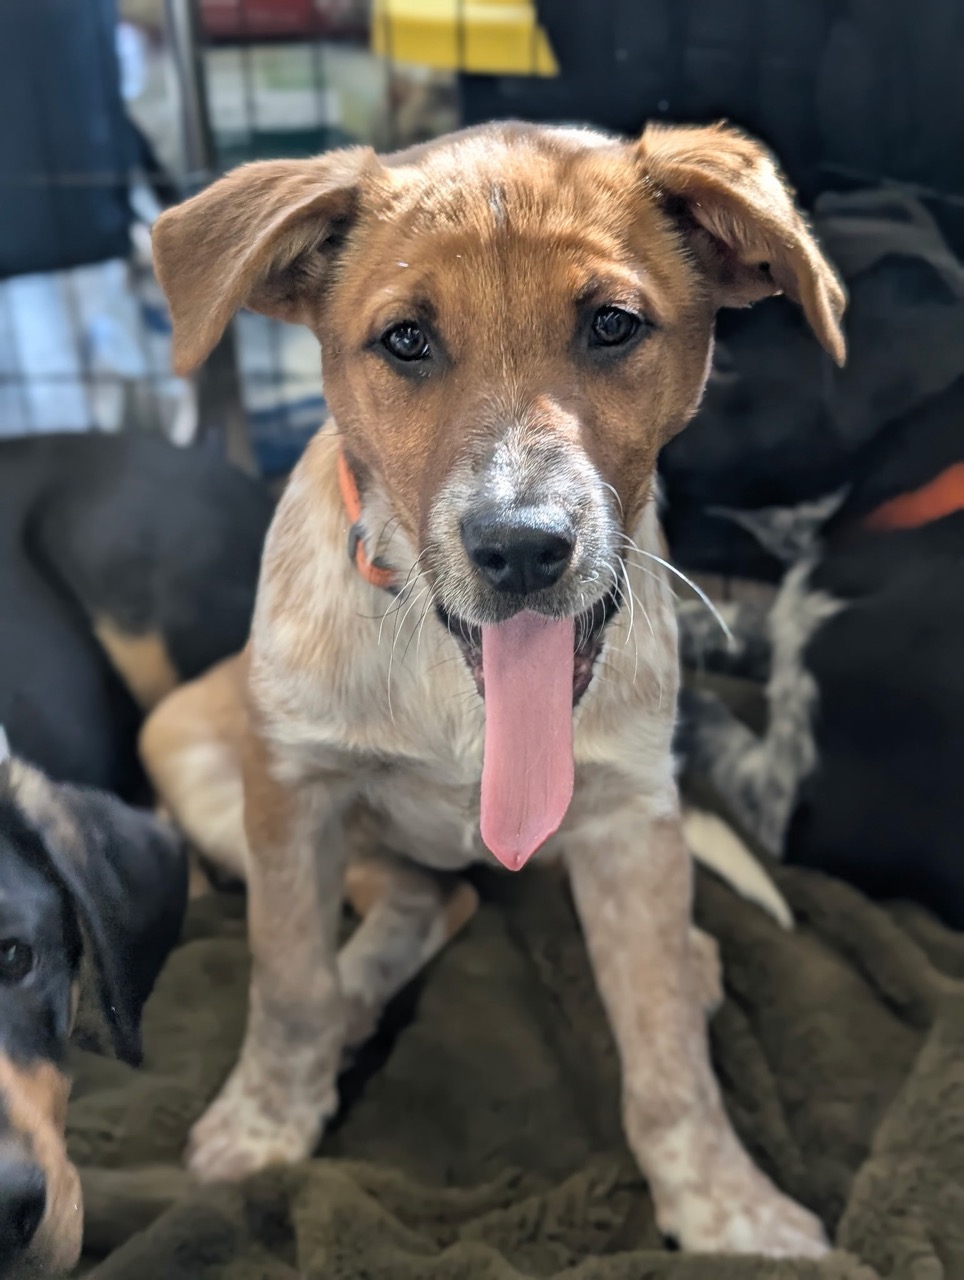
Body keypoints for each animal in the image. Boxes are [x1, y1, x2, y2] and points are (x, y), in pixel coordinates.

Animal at [147, 119, 845, 1255]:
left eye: (612, 325)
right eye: (406, 341)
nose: (521, 549)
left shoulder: (629, 817)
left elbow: (667, 1060)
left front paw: (727, 1208)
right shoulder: (292, 795)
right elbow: (286, 982)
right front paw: (265, 1124)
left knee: (458, 903)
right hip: (194, 765)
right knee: (419, 901)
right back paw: (354, 1001)